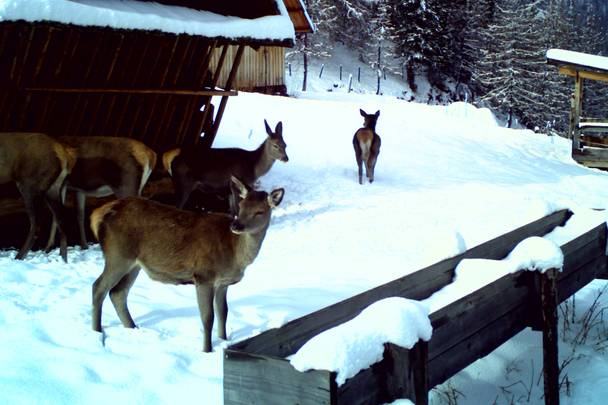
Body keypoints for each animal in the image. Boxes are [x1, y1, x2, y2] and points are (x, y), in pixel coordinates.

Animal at [0, 131, 75, 260]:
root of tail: (64, 154)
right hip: (53, 188)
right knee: (60, 218)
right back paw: (62, 258)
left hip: (29, 185)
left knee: (36, 224)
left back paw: (19, 257)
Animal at [90, 175, 284, 352]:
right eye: (241, 206)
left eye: (260, 211)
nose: (236, 226)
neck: (235, 255)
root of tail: (99, 214)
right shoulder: (204, 275)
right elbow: (207, 317)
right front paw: (207, 350)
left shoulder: (223, 283)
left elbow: (223, 312)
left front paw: (224, 341)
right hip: (118, 255)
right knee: (98, 287)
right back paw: (97, 332)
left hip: (134, 264)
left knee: (117, 293)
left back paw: (132, 328)